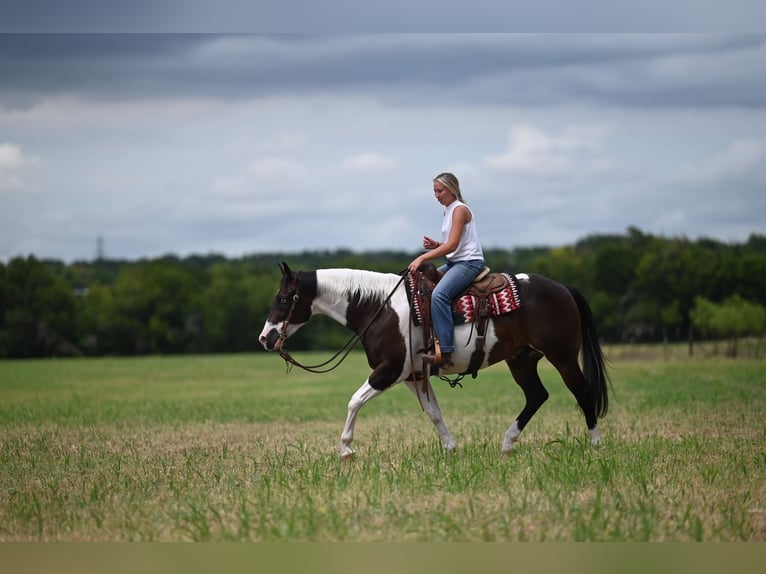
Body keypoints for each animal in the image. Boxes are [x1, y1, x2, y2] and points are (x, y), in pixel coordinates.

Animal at [259, 262, 609, 459]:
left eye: (283, 299)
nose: (266, 338)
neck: (380, 308)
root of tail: (562, 288)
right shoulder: (414, 376)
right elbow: (434, 413)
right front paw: (450, 449)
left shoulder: (388, 371)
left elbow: (354, 401)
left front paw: (346, 449)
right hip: (521, 360)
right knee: (537, 395)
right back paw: (508, 444)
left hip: (562, 357)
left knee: (582, 392)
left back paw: (594, 445)